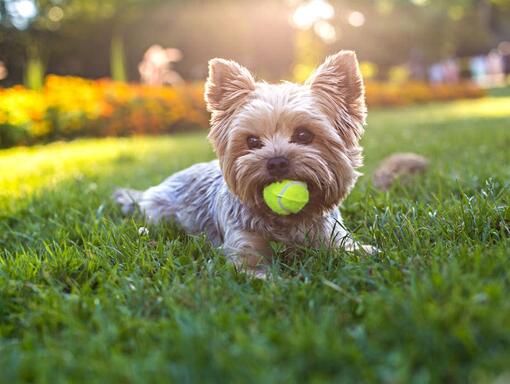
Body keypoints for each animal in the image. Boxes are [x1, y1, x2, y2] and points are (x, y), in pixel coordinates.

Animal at [116, 51, 378, 280]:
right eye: (252, 141)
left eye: (304, 135)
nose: (276, 161)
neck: (286, 221)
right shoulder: (244, 249)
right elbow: (259, 273)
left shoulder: (332, 235)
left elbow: (355, 249)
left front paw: (368, 253)